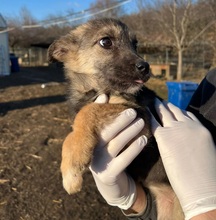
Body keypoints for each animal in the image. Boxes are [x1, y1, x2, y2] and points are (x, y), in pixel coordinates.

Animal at [48, 18, 183, 219]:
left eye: (135, 44)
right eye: (106, 42)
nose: (146, 68)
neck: (94, 89)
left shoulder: (139, 117)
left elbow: (88, 111)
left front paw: (71, 169)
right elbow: (77, 125)